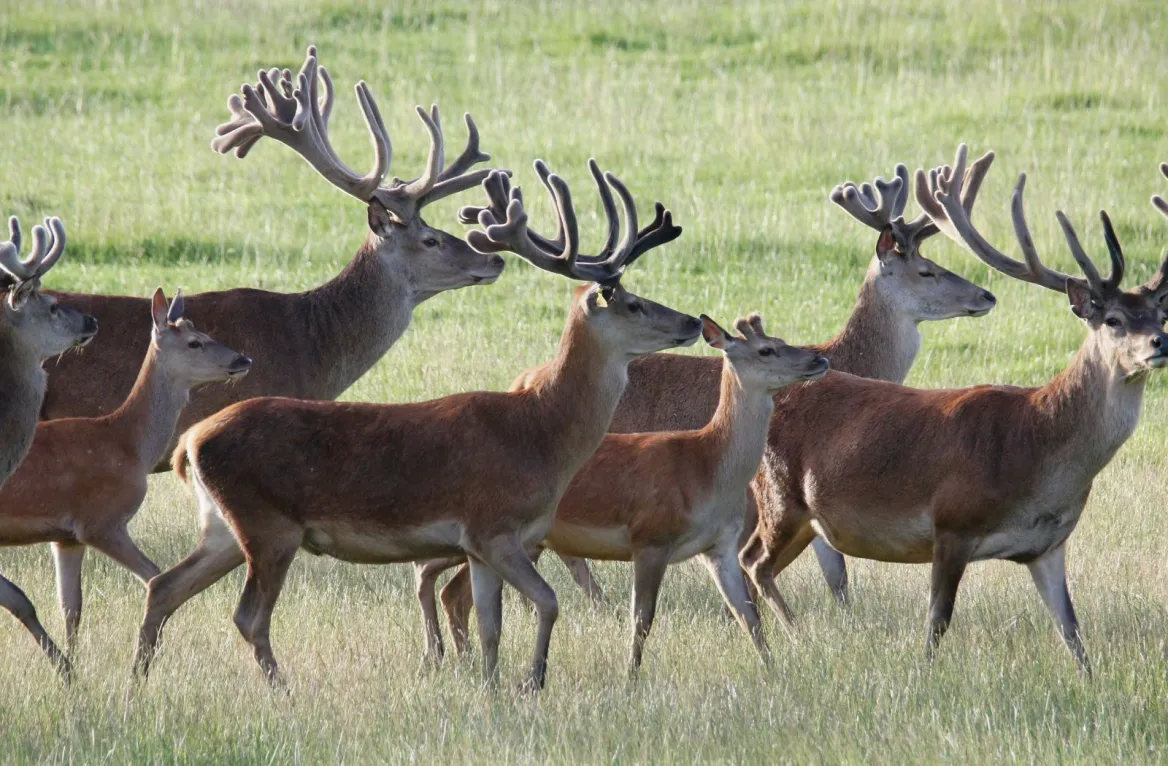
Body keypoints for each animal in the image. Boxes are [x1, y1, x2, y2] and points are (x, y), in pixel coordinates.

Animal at [0, 289, 250, 683]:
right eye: (194, 342)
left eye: (206, 333)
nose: (243, 358)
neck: (128, 442)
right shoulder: (100, 521)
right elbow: (154, 576)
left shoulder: (66, 537)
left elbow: (71, 607)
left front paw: (75, 668)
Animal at [131, 161, 702, 692]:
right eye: (633, 304)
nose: (693, 321)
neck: (542, 434)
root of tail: (190, 443)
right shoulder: (493, 525)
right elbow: (548, 602)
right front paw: (532, 681)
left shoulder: (483, 544)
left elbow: (491, 624)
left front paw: (491, 688)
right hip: (268, 524)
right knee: (248, 616)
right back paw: (283, 691)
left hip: (223, 525)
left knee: (165, 586)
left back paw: (137, 681)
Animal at [417, 313, 829, 671]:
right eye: (766, 350)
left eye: (781, 340)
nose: (818, 358)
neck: (705, 467)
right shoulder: (651, 537)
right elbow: (642, 618)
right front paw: (631, 675)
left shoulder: (720, 546)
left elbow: (748, 615)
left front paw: (773, 669)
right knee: (443, 582)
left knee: (449, 588)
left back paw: (459, 659)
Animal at [432, 155, 999, 623]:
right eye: (927, 270)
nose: (987, 295)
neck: (853, 359)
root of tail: (524, 378)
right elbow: (820, 566)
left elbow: (833, 572)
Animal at [736, 144, 1168, 673]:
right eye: (1113, 319)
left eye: (1161, 315)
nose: (1160, 343)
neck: (1039, 452)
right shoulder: (951, 523)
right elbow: (937, 623)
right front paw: (923, 675)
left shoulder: (1050, 545)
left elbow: (1073, 632)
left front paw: (1089, 681)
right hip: (780, 496)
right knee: (753, 561)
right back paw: (792, 640)